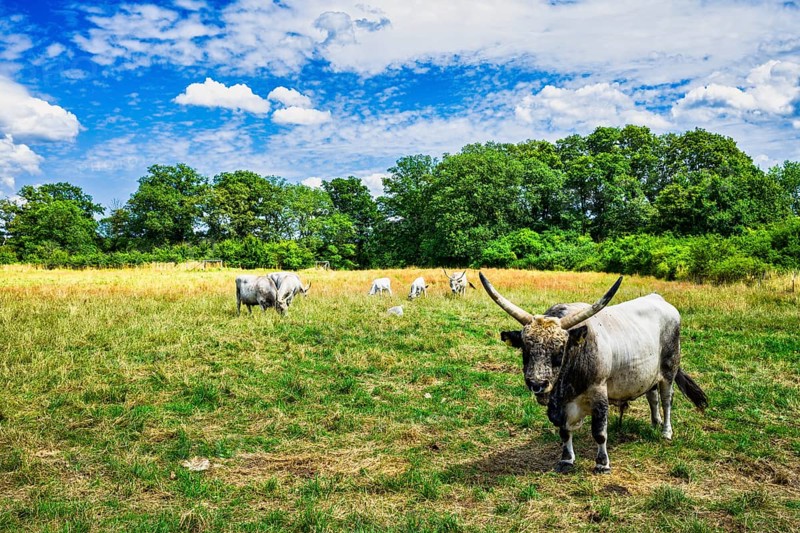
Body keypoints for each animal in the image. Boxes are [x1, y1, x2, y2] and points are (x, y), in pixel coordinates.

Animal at [479, 273, 707, 474]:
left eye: (559, 350)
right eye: (525, 349)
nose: (537, 383)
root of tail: (659, 298)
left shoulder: (599, 394)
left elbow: (599, 432)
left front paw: (602, 463)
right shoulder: (561, 404)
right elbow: (564, 432)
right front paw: (566, 460)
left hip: (669, 368)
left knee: (667, 399)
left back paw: (666, 431)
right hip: (647, 374)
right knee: (652, 397)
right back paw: (655, 422)